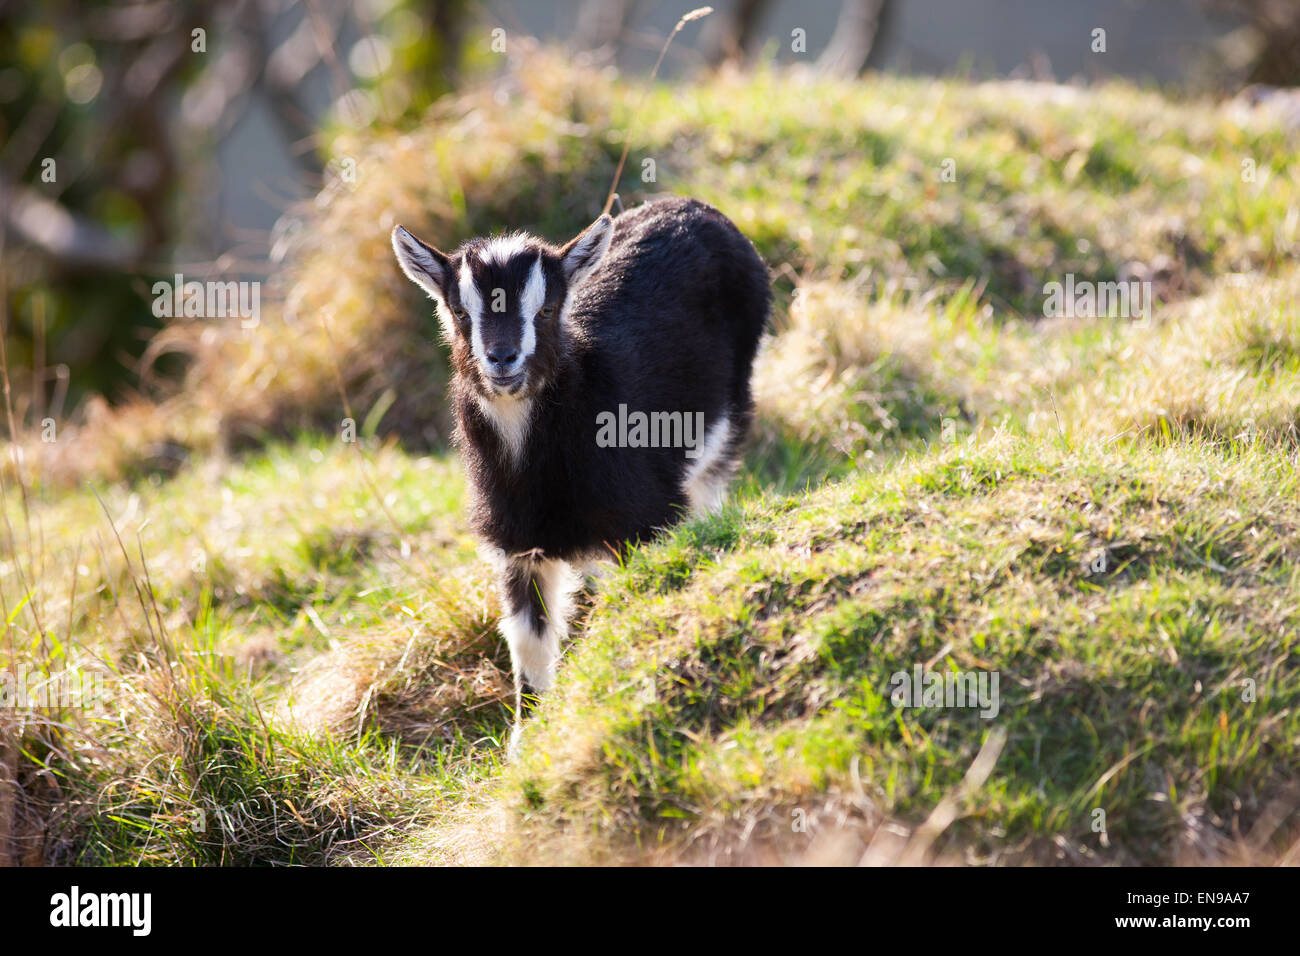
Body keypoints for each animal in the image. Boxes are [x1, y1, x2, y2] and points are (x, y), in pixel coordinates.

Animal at [391, 196, 771, 751]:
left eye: (546, 310)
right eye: (461, 313)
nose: (502, 359)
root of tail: (694, 207)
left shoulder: (642, 519)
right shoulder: (515, 544)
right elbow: (528, 642)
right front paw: (526, 745)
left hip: (727, 417)